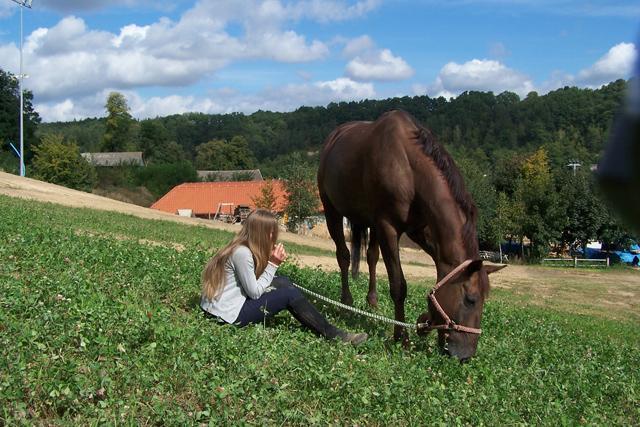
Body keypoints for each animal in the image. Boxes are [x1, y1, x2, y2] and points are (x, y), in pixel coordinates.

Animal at [318, 110, 508, 362]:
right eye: (471, 300)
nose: (465, 356)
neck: (409, 168)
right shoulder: (388, 227)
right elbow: (399, 285)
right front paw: (402, 338)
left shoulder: (419, 229)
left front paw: (426, 321)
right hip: (332, 212)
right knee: (344, 257)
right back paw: (345, 303)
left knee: (371, 257)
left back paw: (372, 303)